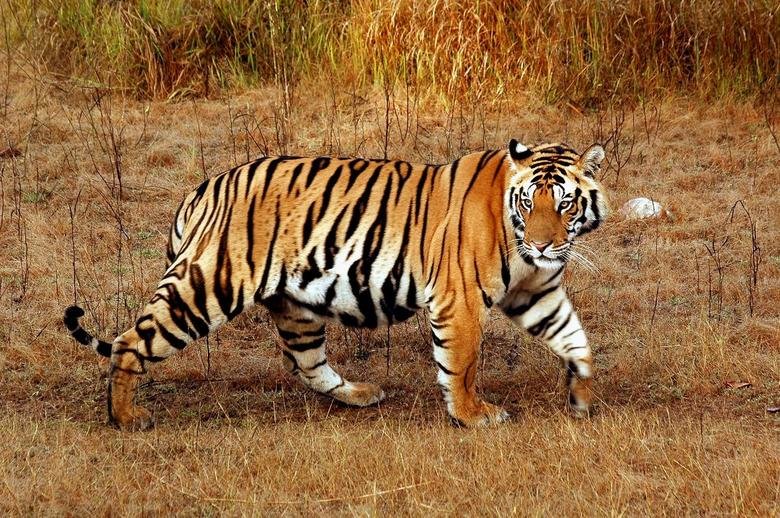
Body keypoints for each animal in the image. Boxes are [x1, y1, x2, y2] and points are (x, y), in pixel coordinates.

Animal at [64, 139, 607, 430]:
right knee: (130, 342)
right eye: (529, 201)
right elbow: (463, 363)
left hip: (294, 305)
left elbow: (577, 342)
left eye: (564, 203)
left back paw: (360, 393)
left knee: (306, 363)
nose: (541, 245)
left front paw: (581, 398)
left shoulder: (536, 293)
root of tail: (204, 187)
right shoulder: (461, 299)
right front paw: (473, 415)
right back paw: (126, 418)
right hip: (208, 285)